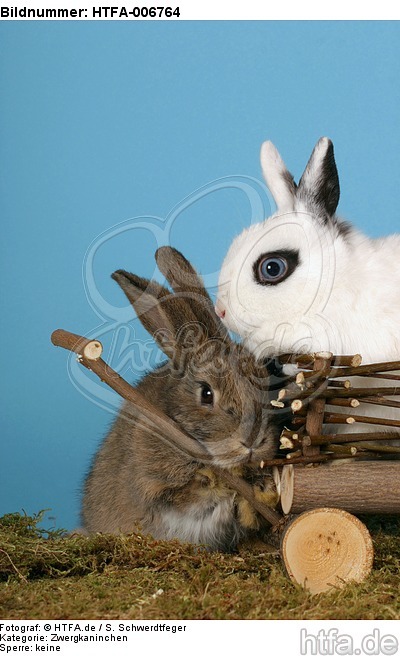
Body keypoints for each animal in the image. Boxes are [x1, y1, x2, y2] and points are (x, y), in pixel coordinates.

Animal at [81, 247, 283, 552]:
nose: (252, 441)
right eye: (206, 393)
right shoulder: (155, 487)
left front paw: (262, 489)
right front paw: (219, 486)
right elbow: (191, 498)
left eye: (266, 381)